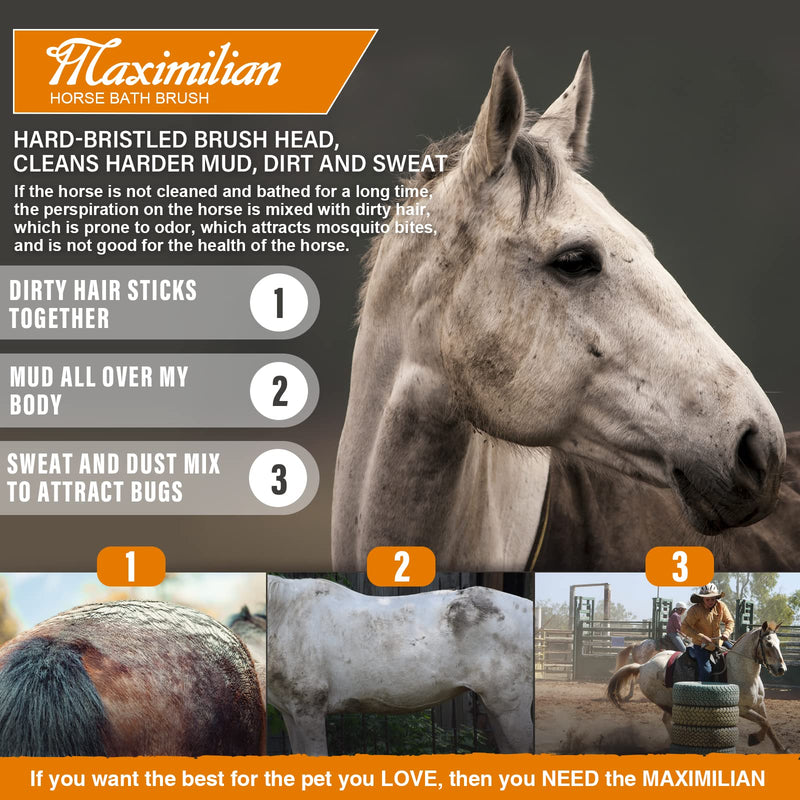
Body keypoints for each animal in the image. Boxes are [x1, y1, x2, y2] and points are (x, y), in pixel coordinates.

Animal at [607, 622, 788, 752]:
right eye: (768, 644)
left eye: (779, 643)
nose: (781, 669)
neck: (743, 670)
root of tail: (643, 666)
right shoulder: (742, 709)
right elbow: (763, 722)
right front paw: (755, 739)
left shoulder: (760, 704)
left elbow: (767, 723)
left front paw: (780, 748)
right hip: (666, 702)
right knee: (668, 720)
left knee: (666, 719)